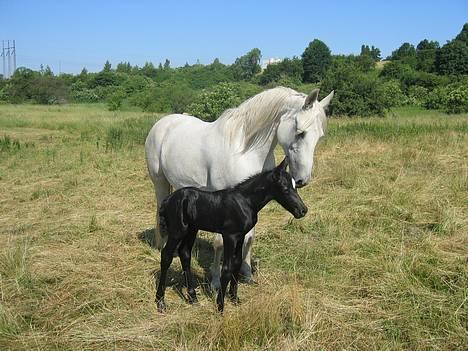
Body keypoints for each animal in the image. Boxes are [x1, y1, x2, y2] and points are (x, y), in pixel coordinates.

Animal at [145, 86, 332, 288]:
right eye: (300, 132)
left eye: (319, 136)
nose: (302, 179)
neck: (245, 151)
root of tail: (162, 123)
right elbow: (219, 242)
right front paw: (216, 280)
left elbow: (249, 238)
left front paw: (247, 274)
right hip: (160, 182)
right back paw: (163, 247)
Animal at [154, 158, 308, 312]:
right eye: (285, 188)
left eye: (295, 187)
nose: (303, 210)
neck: (245, 202)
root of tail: (167, 201)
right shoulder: (230, 236)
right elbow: (227, 268)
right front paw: (220, 306)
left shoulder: (240, 236)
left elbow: (237, 263)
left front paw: (234, 299)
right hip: (177, 231)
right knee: (166, 255)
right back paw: (160, 302)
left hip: (192, 230)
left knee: (185, 253)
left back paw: (193, 298)